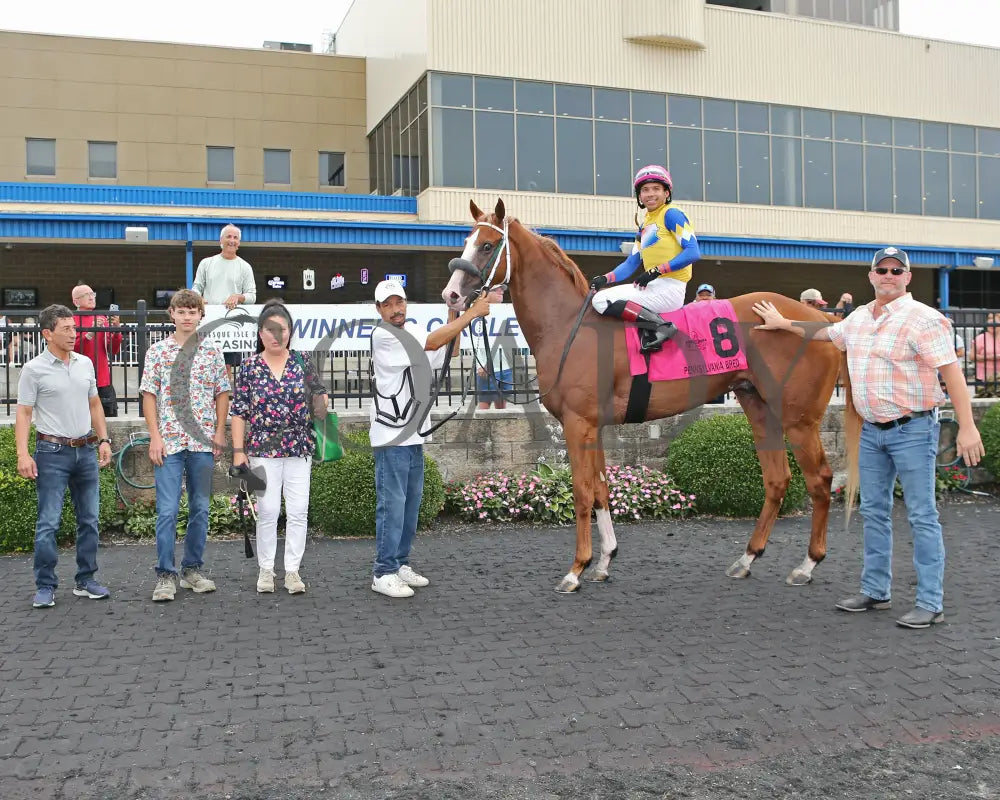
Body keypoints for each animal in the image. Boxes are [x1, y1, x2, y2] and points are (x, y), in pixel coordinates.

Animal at [442, 200, 848, 592]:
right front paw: (604, 561)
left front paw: (576, 569)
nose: (452, 295)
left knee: (820, 479)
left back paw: (807, 564)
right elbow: (601, 489)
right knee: (777, 479)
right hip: (758, 406)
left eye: (487, 245)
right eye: (466, 241)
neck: (568, 326)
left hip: (799, 418)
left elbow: (582, 491)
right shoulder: (593, 425)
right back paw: (747, 558)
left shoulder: (577, 423)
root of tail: (823, 321)